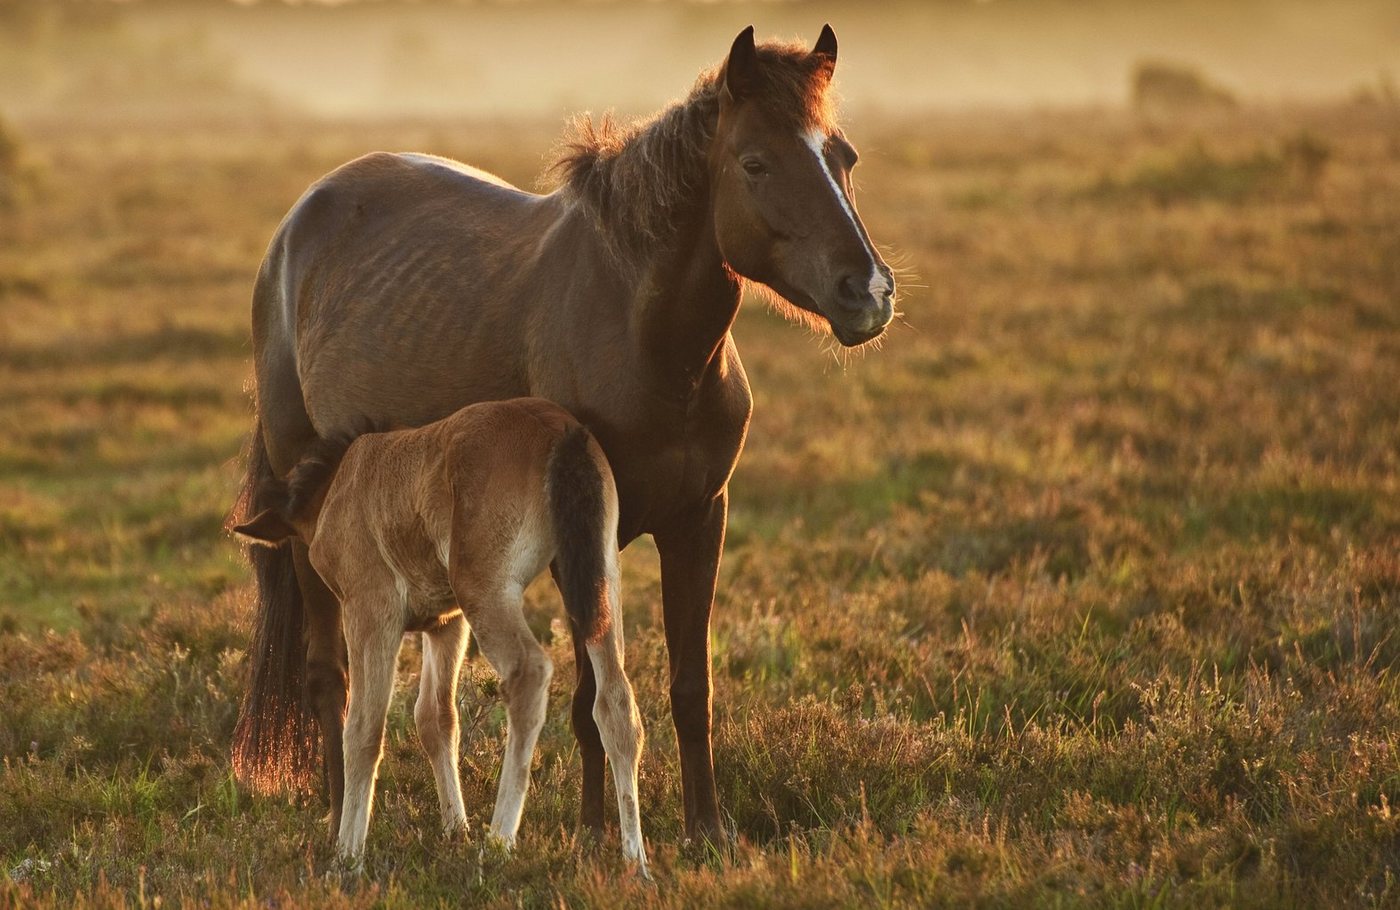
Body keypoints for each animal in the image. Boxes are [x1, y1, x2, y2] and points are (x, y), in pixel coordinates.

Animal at [232, 397, 646, 862]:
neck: (341, 482)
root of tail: (560, 428)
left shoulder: (371, 610)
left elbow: (363, 728)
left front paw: (348, 853)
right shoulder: (446, 623)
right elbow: (435, 718)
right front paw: (455, 828)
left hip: (486, 589)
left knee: (530, 672)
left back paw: (499, 839)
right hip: (598, 575)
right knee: (616, 700)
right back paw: (635, 858)